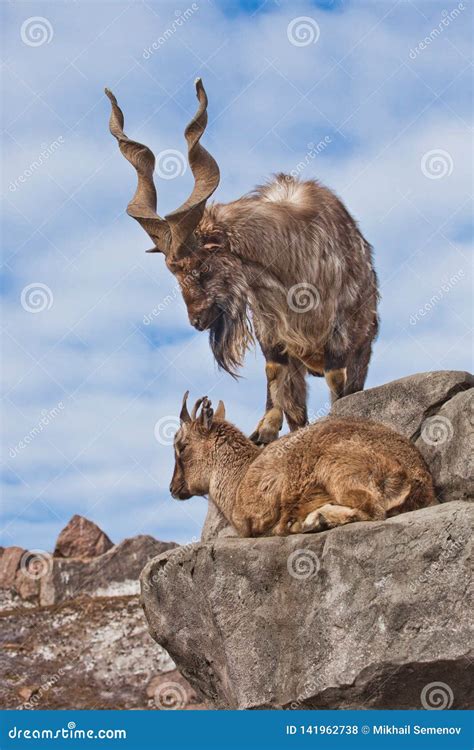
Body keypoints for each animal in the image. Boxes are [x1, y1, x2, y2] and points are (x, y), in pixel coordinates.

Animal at [106, 79, 378, 444]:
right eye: (172, 273)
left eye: (203, 267)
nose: (197, 320)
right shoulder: (271, 332)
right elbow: (279, 382)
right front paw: (266, 431)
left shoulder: (341, 333)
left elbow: (339, 385)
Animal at [170, 390, 436, 536]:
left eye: (181, 446)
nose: (174, 488)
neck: (238, 478)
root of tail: (415, 478)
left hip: (338, 469)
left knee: (373, 509)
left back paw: (315, 520)